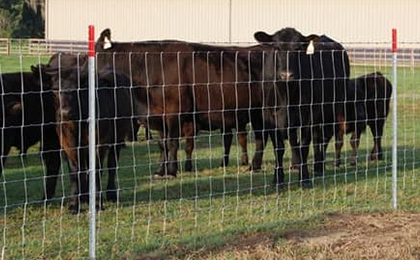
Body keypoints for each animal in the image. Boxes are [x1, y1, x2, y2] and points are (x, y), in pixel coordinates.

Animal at [44, 63, 137, 213]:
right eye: (55, 89)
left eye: (77, 89)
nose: (65, 112)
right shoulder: (68, 145)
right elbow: (75, 172)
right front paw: (74, 205)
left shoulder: (100, 143)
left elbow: (97, 171)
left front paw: (97, 204)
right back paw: (85, 197)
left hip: (117, 139)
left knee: (112, 165)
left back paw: (110, 194)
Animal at [253, 27, 352, 187]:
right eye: (276, 48)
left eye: (298, 48)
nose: (286, 75)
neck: (286, 94)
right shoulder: (269, 116)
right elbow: (279, 147)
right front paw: (278, 179)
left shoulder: (309, 114)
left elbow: (303, 145)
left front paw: (304, 178)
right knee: (314, 138)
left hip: (332, 108)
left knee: (323, 138)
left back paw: (318, 167)